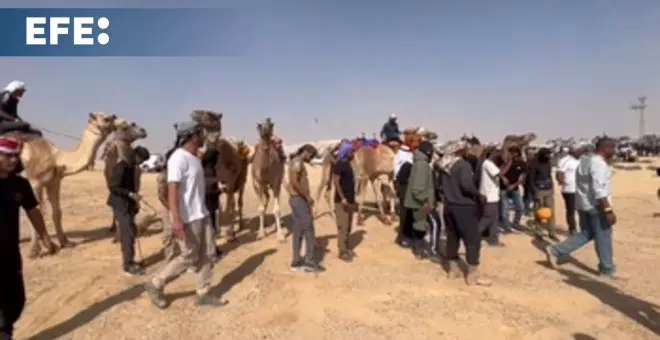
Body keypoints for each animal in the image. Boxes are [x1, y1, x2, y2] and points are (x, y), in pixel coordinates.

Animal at [22, 112, 120, 258]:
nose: (116, 120)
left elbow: (57, 212)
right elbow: (35, 212)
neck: (57, 157)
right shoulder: (34, 182)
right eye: (107, 118)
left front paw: (65, 242)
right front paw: (34, 251)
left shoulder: (54, 182)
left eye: (111, 116)